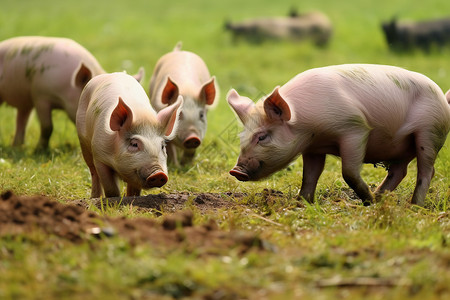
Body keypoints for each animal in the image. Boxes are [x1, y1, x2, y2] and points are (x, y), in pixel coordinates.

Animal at [229, 64, 450, 207]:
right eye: (241, 138)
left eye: (262, 137)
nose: (235, 171)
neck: (310, 129)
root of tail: (444, 99)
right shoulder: (313, 147)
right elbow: (310, 176)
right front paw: (301, 202)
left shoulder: (354, 128)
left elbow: (349, 172)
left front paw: (367, 202)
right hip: (403, 147)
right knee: (399, 171)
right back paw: (380, 197)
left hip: (430, 131)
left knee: (426, 171)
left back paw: (413, 206)